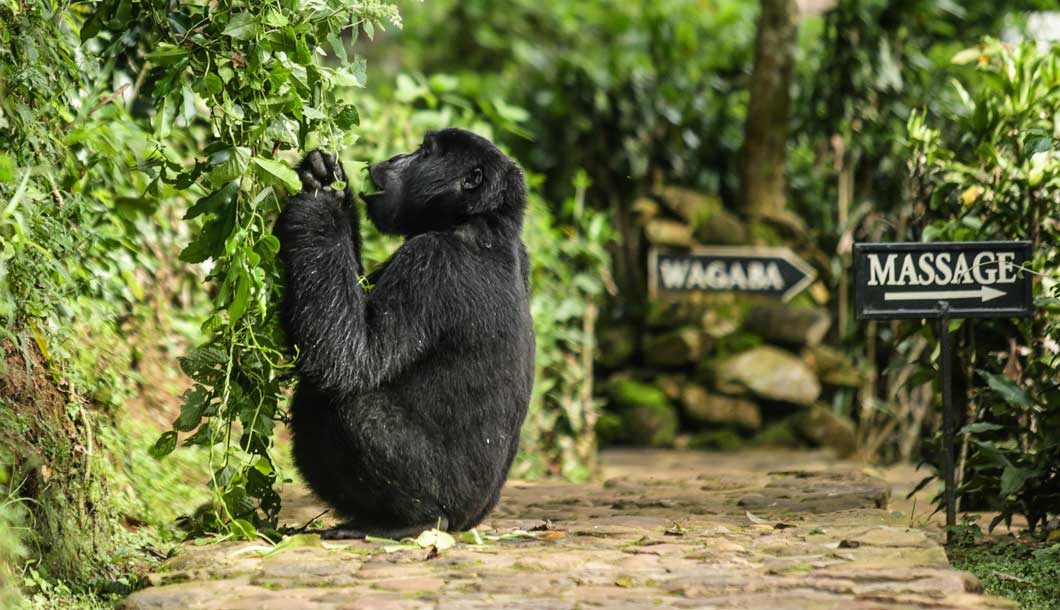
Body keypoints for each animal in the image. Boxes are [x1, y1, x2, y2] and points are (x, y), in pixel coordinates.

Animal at [275, 128, 534, 538]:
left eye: (425, 152)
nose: (396, 158)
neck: (478, 219)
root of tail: (472, 520)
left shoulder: (431, 264)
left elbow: (351, 356)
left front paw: (321, 201)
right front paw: (331, 179)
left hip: (448, 495)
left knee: (347, 406)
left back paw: (414, 521)